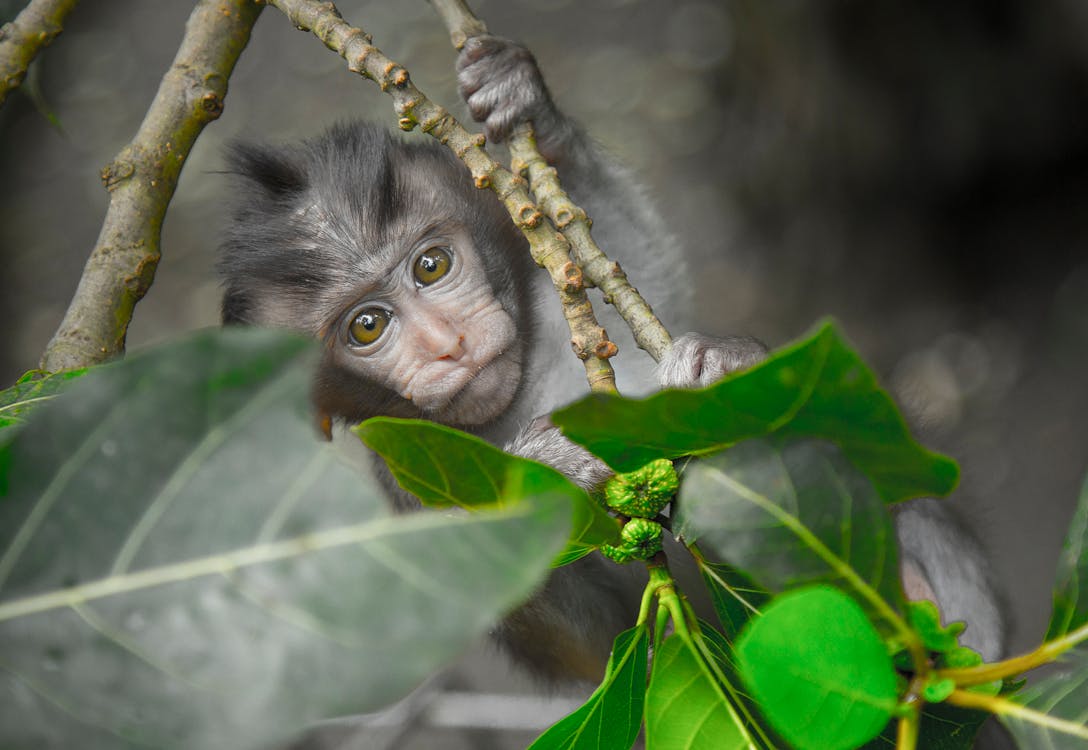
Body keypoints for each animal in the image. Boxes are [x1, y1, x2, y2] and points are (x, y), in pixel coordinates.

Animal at [218, 35, 1000, 683]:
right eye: (367, 327)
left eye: (432, 266)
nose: (447, 344)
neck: (522, 391)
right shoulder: (400, 482)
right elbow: (595, 645)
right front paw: (544, 472)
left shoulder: (548, 292)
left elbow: (627, 257)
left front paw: (523, 98)